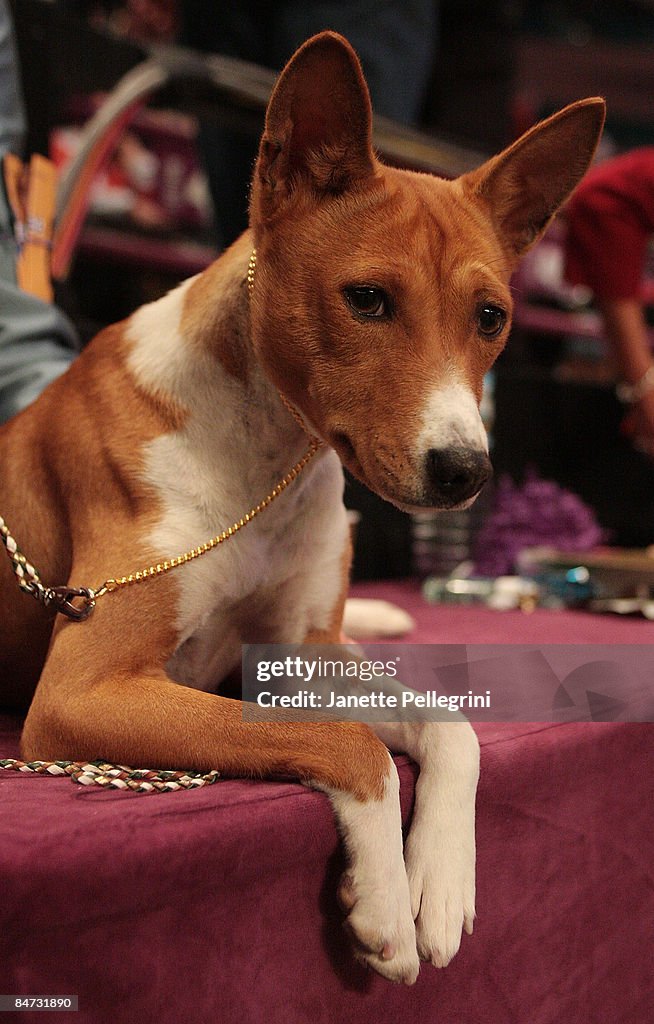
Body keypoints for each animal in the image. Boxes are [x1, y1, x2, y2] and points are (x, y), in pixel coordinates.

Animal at [0, 32, 605, 983]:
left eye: (491, 316)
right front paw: (386, 899)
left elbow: (452, 723)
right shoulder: (83, 688)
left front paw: (441, 880)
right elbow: (354, 745)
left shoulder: (298, 648)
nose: (465, 470)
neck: (268, 463)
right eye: (367, 299)